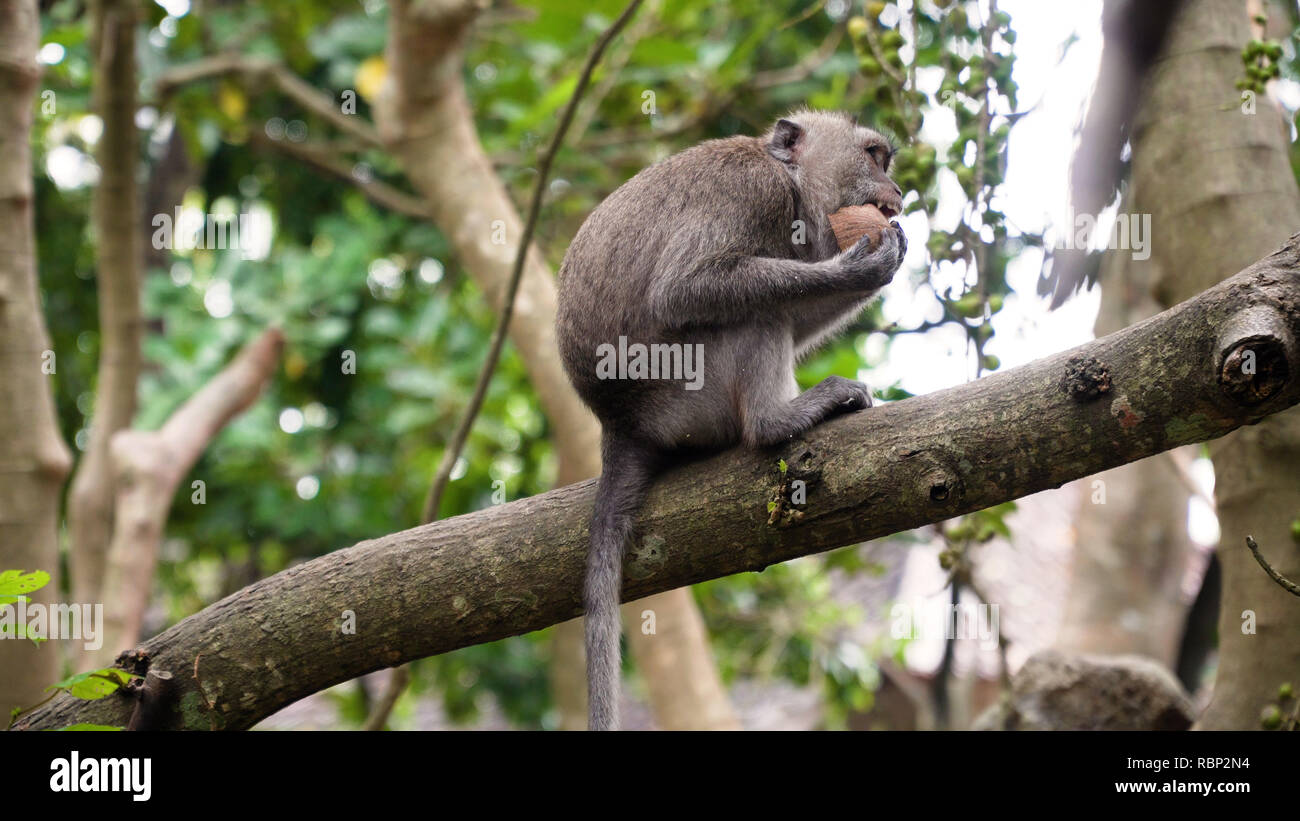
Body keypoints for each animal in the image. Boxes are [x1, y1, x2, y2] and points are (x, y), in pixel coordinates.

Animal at [555, 109, 907, 730]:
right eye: (873, 156)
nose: (899, 194)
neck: (790, 182)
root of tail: (619, 423)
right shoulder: (751, 193)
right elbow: (685, 288)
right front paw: (861, 267)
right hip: (686, 391)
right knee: (752, 312)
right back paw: (780, 419)